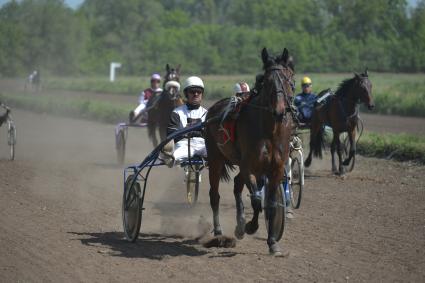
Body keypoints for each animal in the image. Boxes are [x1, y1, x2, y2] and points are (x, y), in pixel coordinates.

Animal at [205, 47, 294, 256]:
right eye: (266, 81)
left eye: (287, 78)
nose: (279, 110)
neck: (270, 130)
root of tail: (213, 109)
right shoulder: (249, 167)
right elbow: (256, 200)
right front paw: (251, 226)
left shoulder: (276, 168)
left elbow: (270, 204)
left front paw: (272, 242)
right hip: (215, 158)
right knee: (215, 195)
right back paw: (219, 234)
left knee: (237, 184)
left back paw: (238, 225)